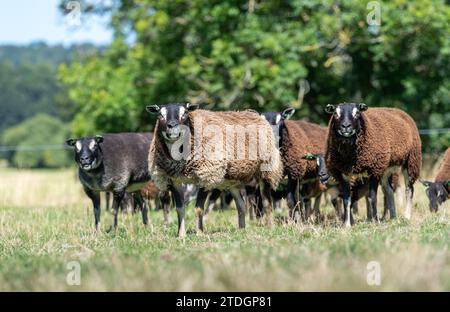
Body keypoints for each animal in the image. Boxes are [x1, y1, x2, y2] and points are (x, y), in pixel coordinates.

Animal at [146, 102, 284, 236]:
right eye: (160, 115)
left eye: (185, 113)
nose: (172, 126)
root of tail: (253, 114)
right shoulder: (173, 180)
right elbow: (180, 209)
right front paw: (181, 235)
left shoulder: (206, 174)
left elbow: (199, 208)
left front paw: (200, 233)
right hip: (231, 179)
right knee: (241, 204)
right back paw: (241, 229)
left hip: (266, 168)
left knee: (267, 202)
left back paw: (270, 227)